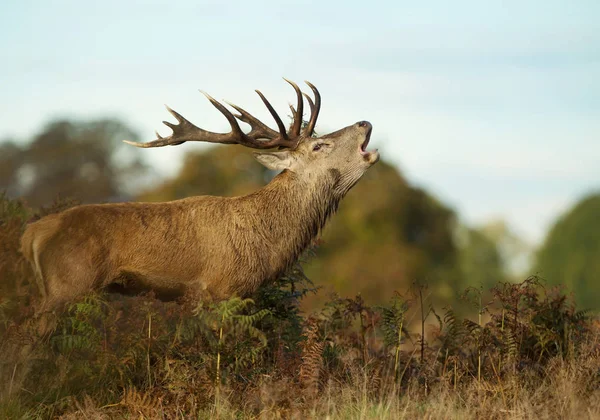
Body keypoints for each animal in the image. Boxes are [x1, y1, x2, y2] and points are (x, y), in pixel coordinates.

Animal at [22, 79, 380, 322]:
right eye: (319, 146)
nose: (365, 121)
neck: (266, 245)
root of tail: (32, 234)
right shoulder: (219, 288)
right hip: (68, 286)